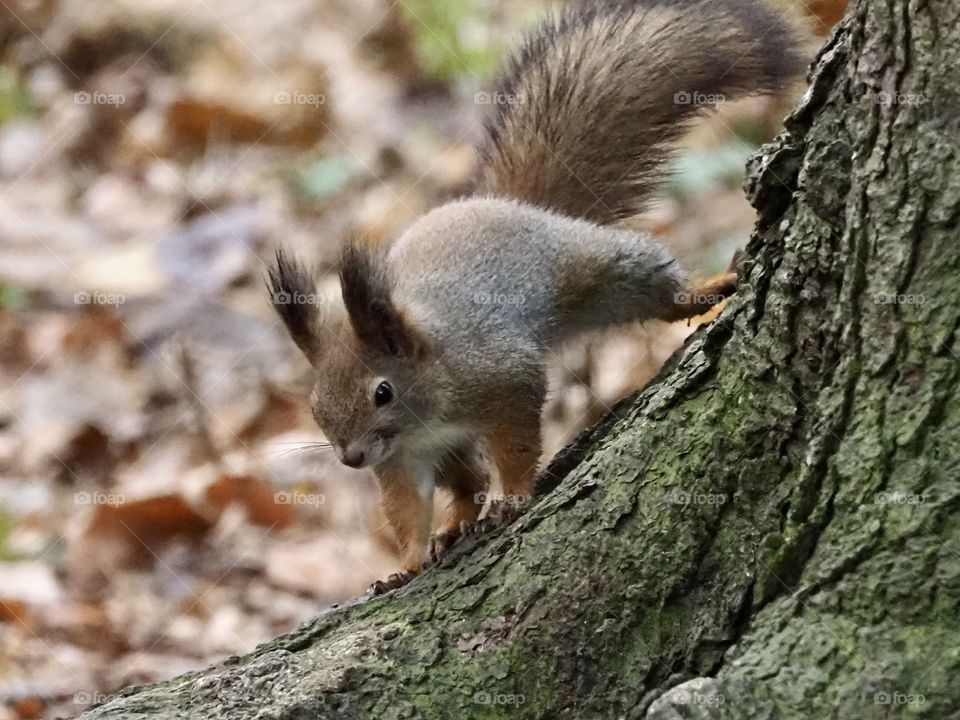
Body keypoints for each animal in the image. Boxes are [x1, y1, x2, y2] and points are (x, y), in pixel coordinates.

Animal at [269, 0, 802, 594]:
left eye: (382, 392)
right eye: (315, 405)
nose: (352, 458)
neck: (427, 400)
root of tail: (515, 206)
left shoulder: (501, 376)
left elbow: (518, 442)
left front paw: (517, 496)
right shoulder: (403, 458)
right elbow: (407, 510)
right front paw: (404, 566)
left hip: (600, 270)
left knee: (655, 287)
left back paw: (707, 289)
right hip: (454, 446)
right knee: (467, 481)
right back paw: (453, 527)